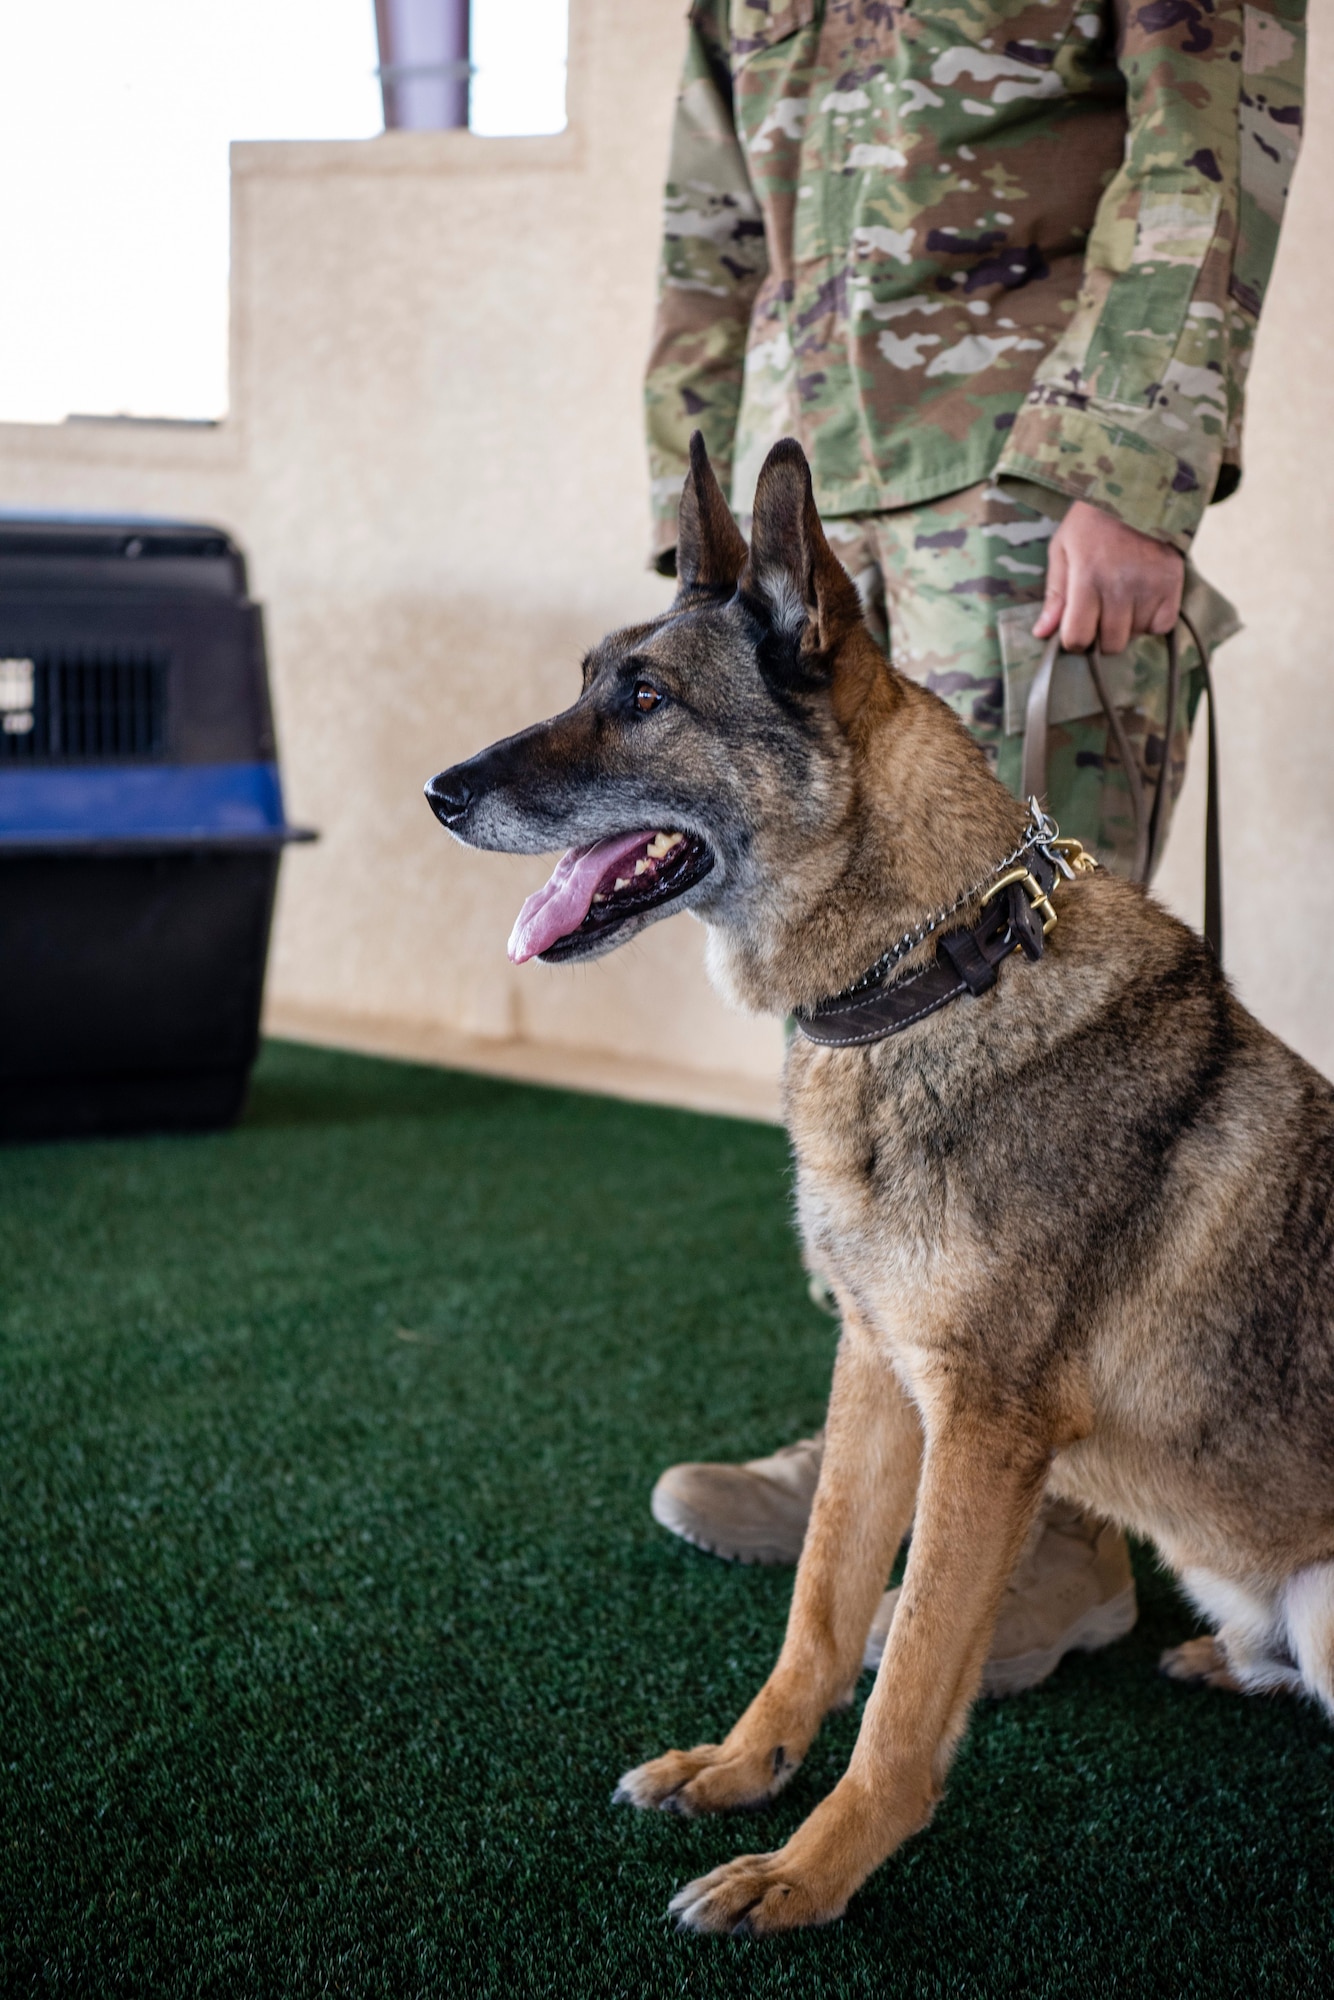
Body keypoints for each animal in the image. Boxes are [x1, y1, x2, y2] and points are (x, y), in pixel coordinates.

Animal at [426, 438, 1334, 1936]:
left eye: (645, 701)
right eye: (587, 677)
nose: (438, 791)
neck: (931, 974)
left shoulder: (981, 1429)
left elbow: (904, 1681)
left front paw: (808, 1873)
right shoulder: (873, 1372)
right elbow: (820, 1608)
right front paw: (743, 1770)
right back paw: (1224, 1658)